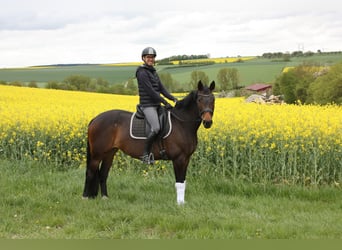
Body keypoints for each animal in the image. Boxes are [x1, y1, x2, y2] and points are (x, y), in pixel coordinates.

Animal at [82, 81, 215, 204]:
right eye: (199, 100)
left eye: (213, 99)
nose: (207, 122)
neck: (181, 123)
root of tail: (95, 119)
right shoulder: (179, 159)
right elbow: (179, 182)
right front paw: (180, 204)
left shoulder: (186, 158)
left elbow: (183, 181)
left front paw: (182, 202)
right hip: (97, 154)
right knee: (90, 172)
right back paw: (85, 197)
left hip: (109, 153)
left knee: (103, 173)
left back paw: (105, 197)